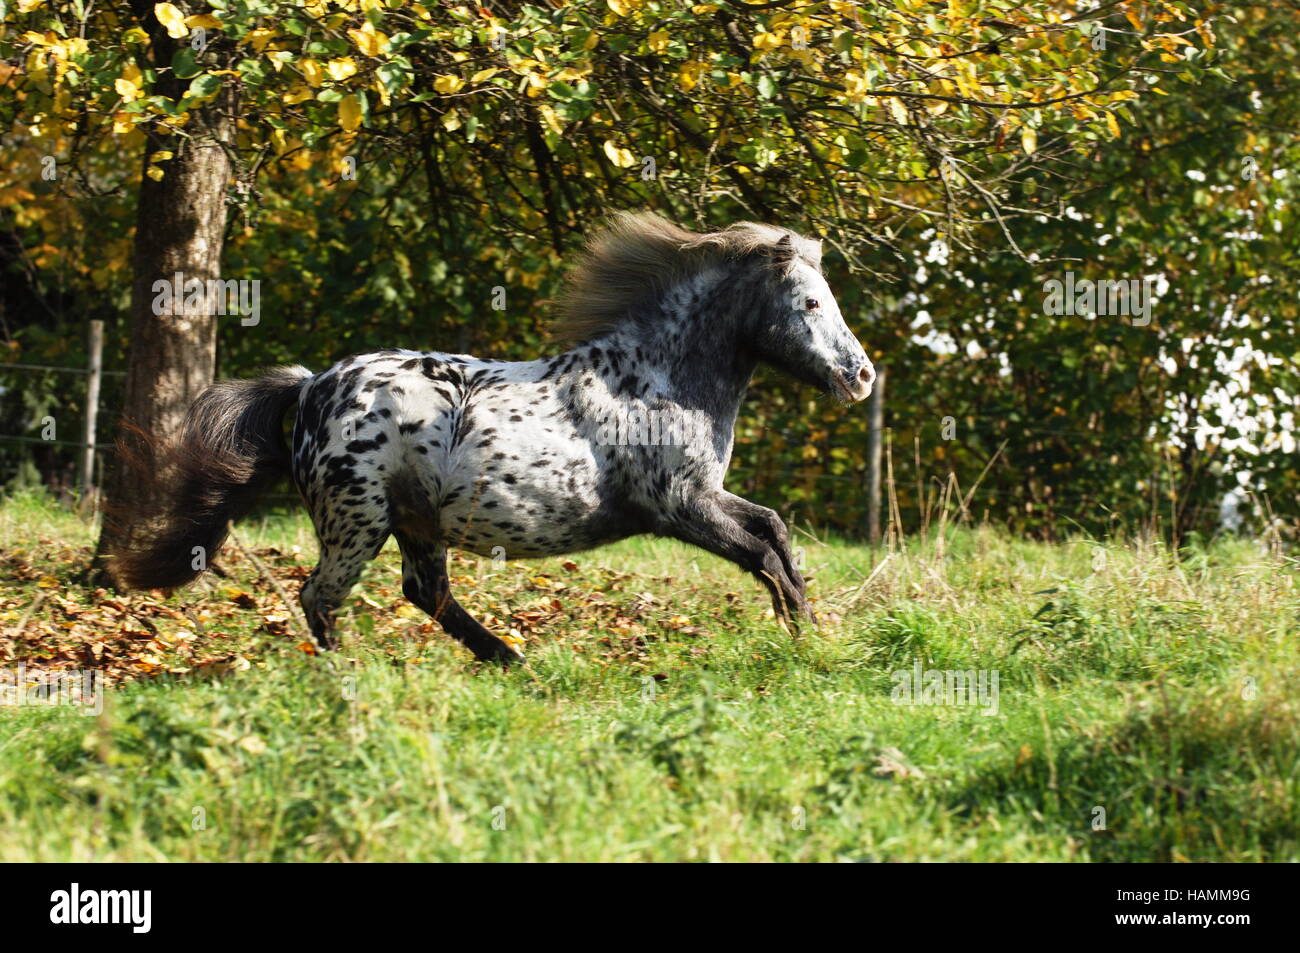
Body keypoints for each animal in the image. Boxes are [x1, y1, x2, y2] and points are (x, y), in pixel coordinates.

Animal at [114, 213, 873, 660]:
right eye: (810, 301)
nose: (861, 375)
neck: (653, 378)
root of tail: (308, 388)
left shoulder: (707, 495)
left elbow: (774, 529)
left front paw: (812, 629)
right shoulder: (678, 506)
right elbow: (761, 551)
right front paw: (804, 636)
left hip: (415, 520)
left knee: (425, 593)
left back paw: (509, 658)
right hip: (358, 520)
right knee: (320, 598)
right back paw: (358, 675)